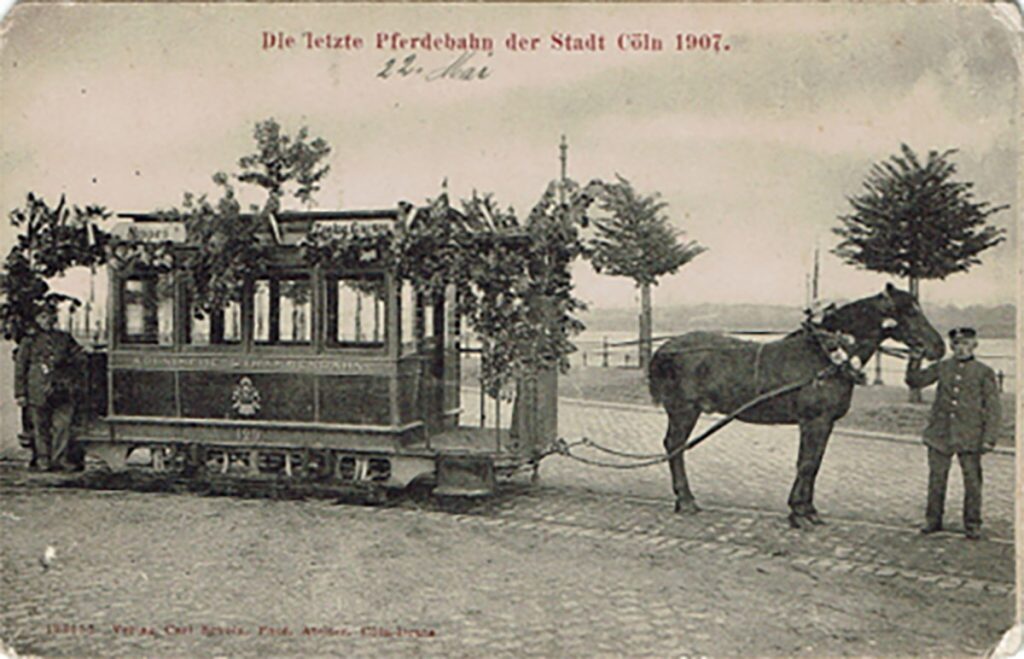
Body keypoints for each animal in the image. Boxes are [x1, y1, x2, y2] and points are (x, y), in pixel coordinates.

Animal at [647, 284, 942, 532]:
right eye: (910, 311)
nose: (938, 346)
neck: (825, 355)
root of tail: (666, 348)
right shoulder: (814, 420)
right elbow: (807, 464)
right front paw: (799, 513)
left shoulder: (825, 423)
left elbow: (814, 463)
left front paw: (807, 510)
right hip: (684, 410)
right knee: (675, 446)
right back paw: (686, 500)